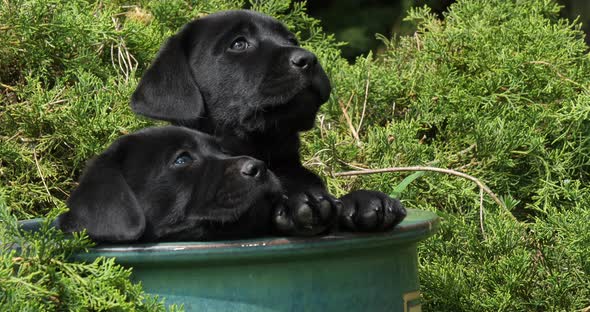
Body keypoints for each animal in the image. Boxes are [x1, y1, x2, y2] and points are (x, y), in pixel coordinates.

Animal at [130, 9, 408, 234]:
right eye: (239, 43)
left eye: (292, 40)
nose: (308, 58)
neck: (264, 149)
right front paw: (300, 205)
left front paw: (363, 201)